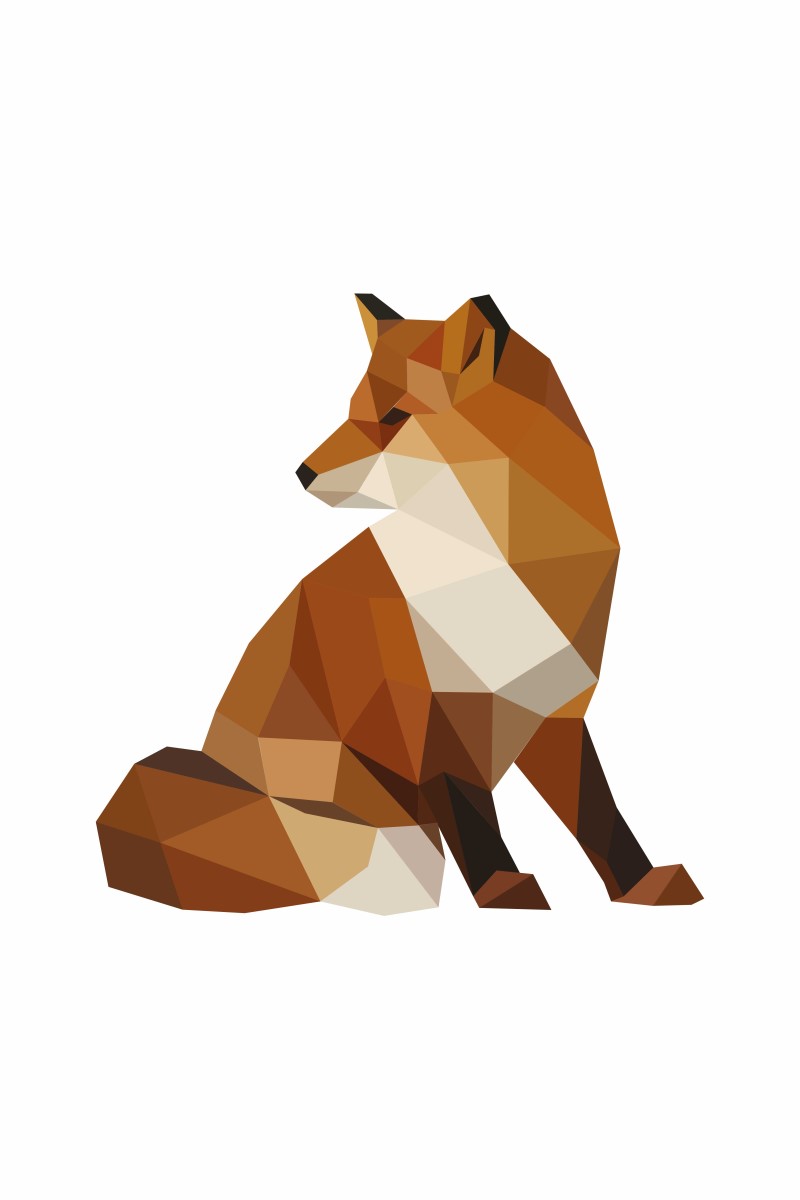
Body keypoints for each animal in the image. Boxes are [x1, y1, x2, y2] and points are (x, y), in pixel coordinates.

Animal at [97, 294, 701, 913]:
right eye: (351, 410)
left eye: (392, 416)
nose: (302, 472)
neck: (497, 572)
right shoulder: (429, 727)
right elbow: (475, 824)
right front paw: (505, 893)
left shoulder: (556, 712)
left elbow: (599, 818)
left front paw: (643, 886)